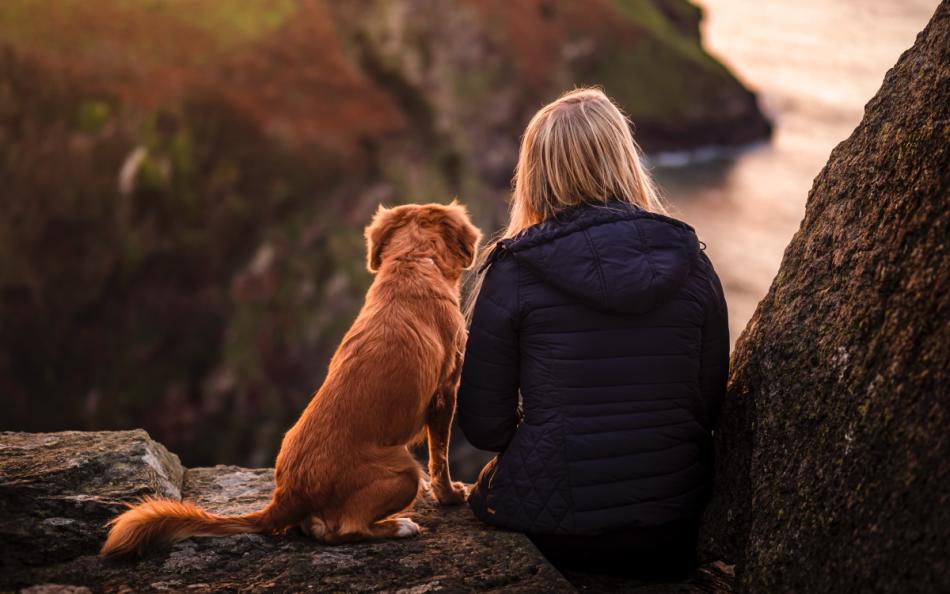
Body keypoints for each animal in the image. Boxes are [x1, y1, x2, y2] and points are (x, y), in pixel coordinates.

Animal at [102, 200, 484, 556]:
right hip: (404, 470)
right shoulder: (446, 390)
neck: (413, 263)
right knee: (344, 529)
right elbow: (440, 456)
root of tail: (287, 495)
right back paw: (399, 526)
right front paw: (451, 496)